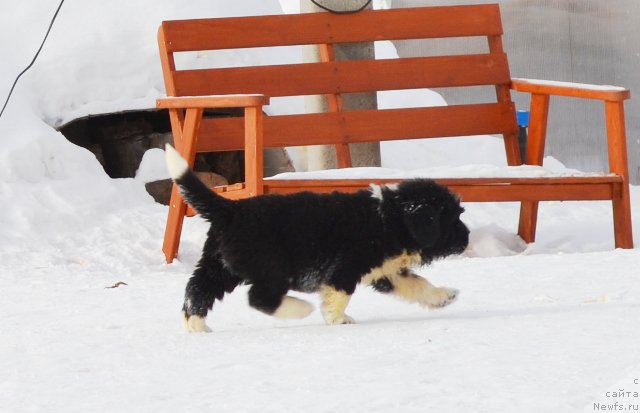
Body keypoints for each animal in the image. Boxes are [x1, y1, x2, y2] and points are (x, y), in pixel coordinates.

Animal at [166, 145, 470, 332]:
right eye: (452, 219)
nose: (467, 238)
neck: (388, 218)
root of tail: (231, 209)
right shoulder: (346, 267)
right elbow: (340, 295)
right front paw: (338, 320)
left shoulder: (387, 270)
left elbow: (417, 284)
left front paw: (442, 297)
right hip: (270, 265)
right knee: (259, 297)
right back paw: (300, 309)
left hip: (219, 265)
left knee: (198, 290)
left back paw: (197, 327)